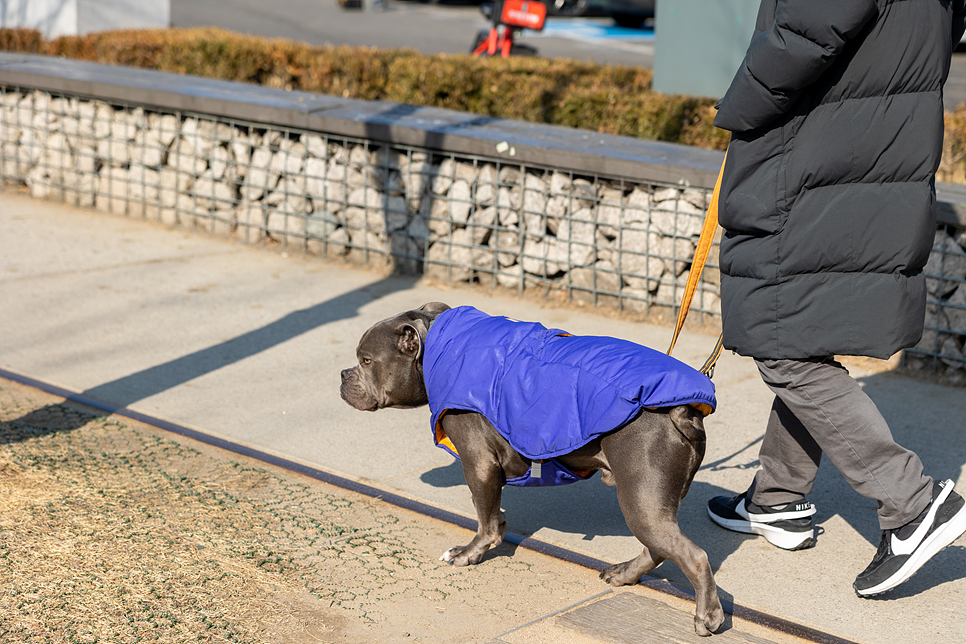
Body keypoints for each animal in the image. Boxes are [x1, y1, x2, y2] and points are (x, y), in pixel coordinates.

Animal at [340, 304, 728, 636]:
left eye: (366, 360)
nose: (343, 374)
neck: (436, 344)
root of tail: (681, 410)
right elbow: (492, 512)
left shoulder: (479, 464)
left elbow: (484, 521)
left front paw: (470, 552)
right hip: (652, 503)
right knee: (659, 548)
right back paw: (623, 574)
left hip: (641, 500)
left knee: (692, 555)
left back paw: (707, 616)